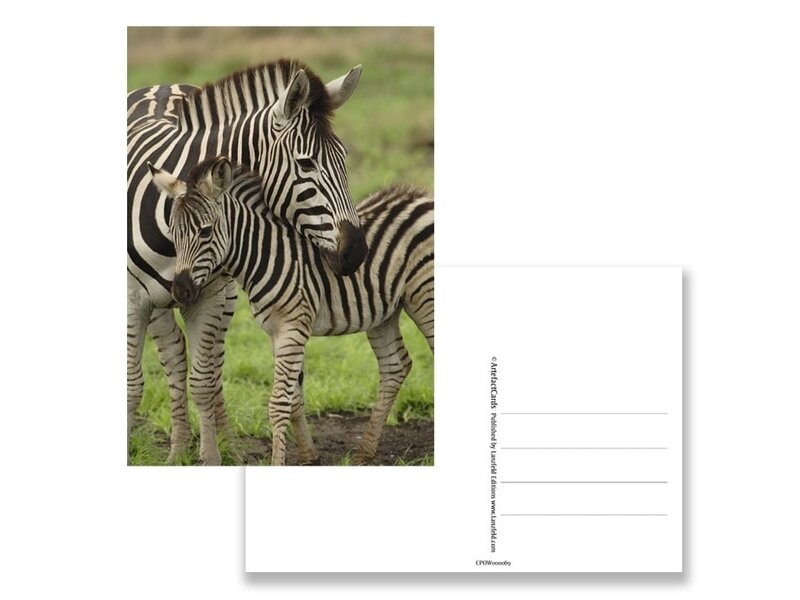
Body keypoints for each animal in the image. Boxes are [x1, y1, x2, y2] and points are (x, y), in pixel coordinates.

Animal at [128, 59, 367, 465]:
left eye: (344, 158)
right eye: (306, 164)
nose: (357, 252)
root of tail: (161, 85)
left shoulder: (207, 296)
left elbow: (203, 380)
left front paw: (212, 455)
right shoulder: (132, 300)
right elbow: (133, 385)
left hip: (222, 295)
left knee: (208, 364)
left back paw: (215, 441)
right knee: (173, 356)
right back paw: (177, 448)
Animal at [149, 156, 434, 465]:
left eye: (205, 231)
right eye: (173, 234)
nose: (180, 291)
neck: (266, 255)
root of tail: (423, 197)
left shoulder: (292, 329)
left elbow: (278, 403)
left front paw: (278, 462)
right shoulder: (277, 332)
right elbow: (293, 398)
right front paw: (308, 454)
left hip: (424, 296)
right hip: (384, 312)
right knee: (395, 365)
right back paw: (364, 451)